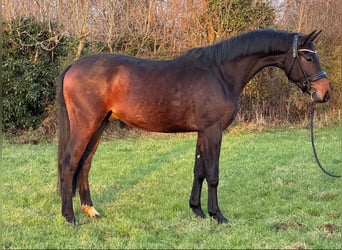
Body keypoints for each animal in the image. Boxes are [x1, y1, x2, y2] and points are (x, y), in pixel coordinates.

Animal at [57, 29, 330, 225]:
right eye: (308, 56)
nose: (325, 93)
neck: (220, 73)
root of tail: (72, 66)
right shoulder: (213, 131)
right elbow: (213, 174)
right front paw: (218, 215)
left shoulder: (202, 132)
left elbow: (198, 170)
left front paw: (197, 210)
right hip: (86, 125)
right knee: (69, 163)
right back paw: (70, 217)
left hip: (99, 125)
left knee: (85, 164)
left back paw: (90, 210)